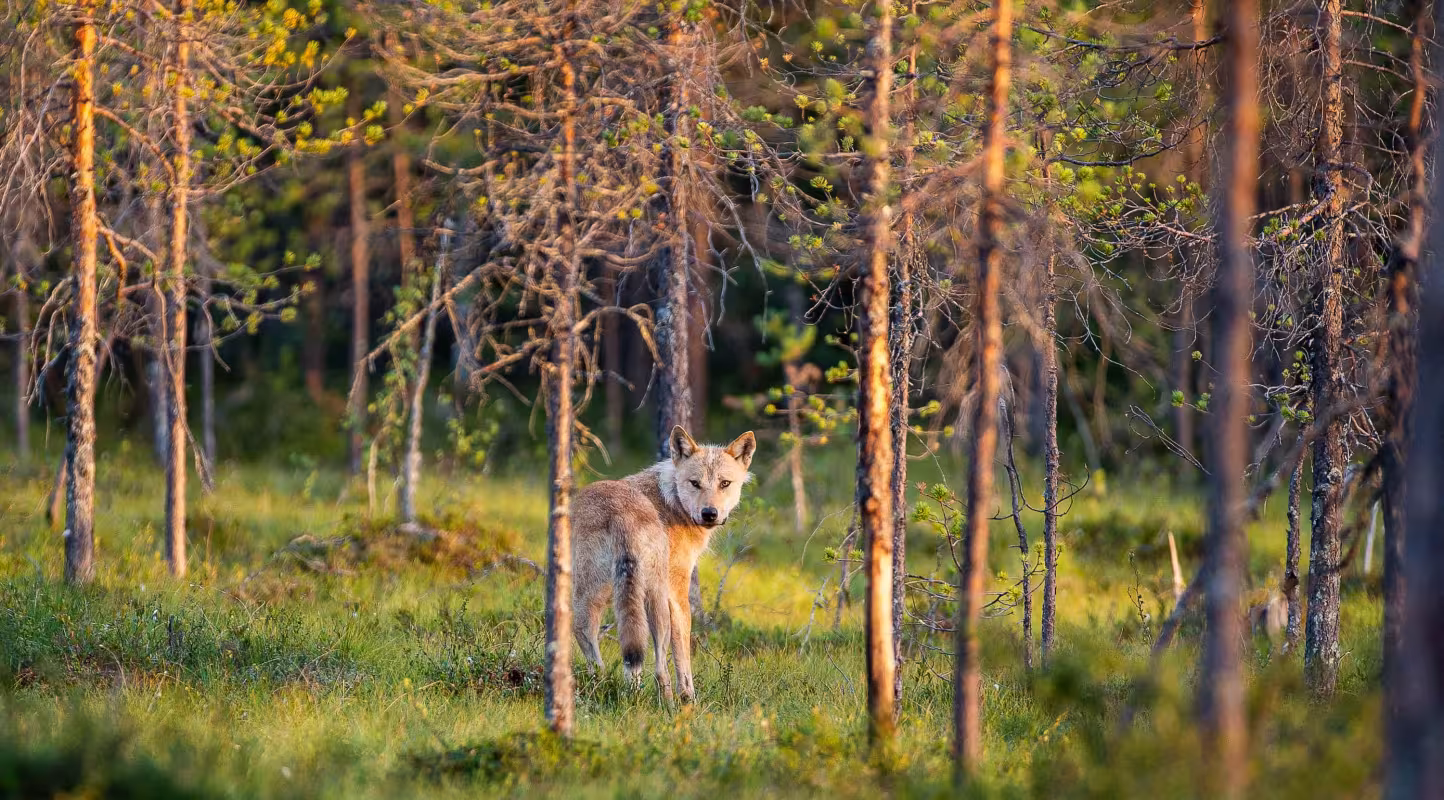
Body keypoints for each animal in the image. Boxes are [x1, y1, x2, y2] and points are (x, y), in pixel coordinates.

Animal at [571, 425, 756, 703]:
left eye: (724, 483)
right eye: (695, 483)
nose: (709, 514)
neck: (671, 502)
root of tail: (620, 512)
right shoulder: (677, 593)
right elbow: (683, 655)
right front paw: (689, 699)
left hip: (601, 596)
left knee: (602, 647)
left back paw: (617, 693)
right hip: (649, 598)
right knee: (656, 665)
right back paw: (665, 703)